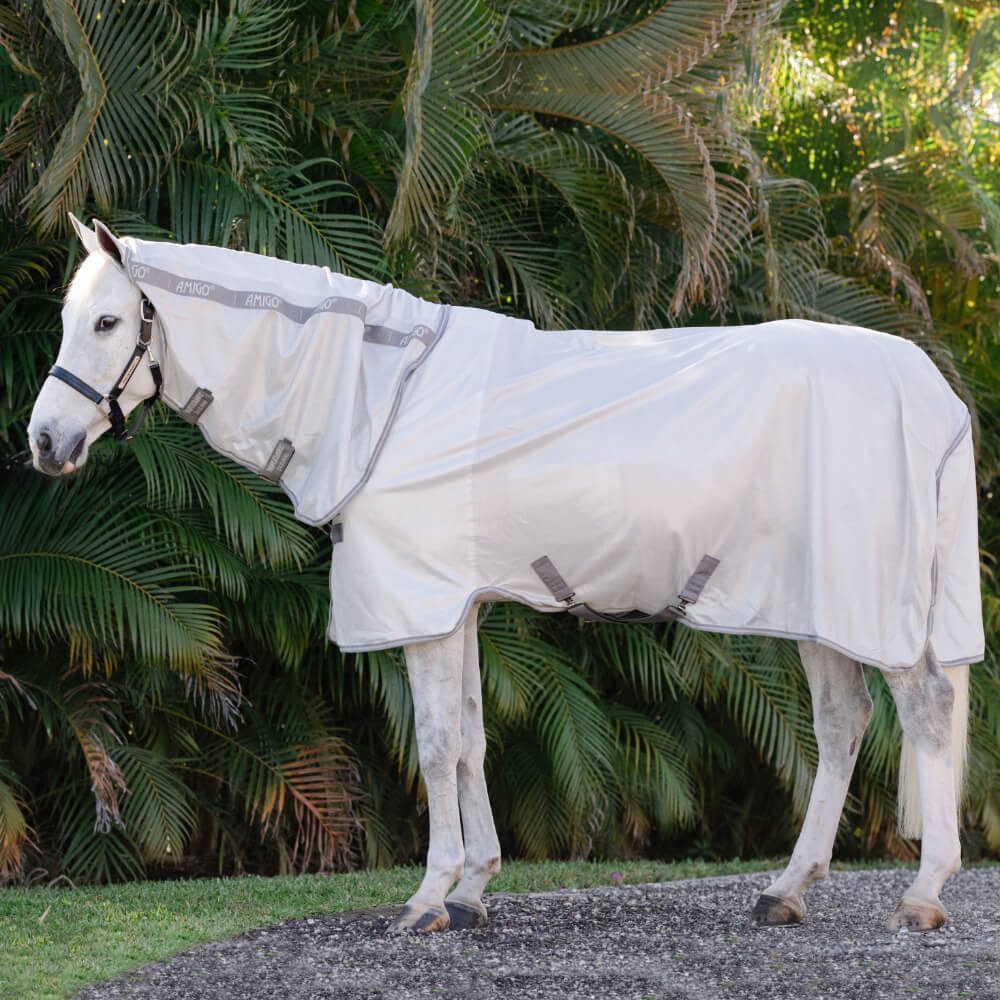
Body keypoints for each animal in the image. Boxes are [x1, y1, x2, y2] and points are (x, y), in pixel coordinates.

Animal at [28, 215, 983, 933]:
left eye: (108, 322)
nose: (43, 441)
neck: (378, 395)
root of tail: (932, 392)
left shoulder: (420, 608)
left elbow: (434, 743)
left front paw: (428, 897)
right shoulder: (459, 608)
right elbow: (472, 740)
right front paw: (477, 886)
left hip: (870, 604)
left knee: (925, 709)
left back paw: (924, 893)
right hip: (821, 605)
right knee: (845, 724)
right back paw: (787, 889)